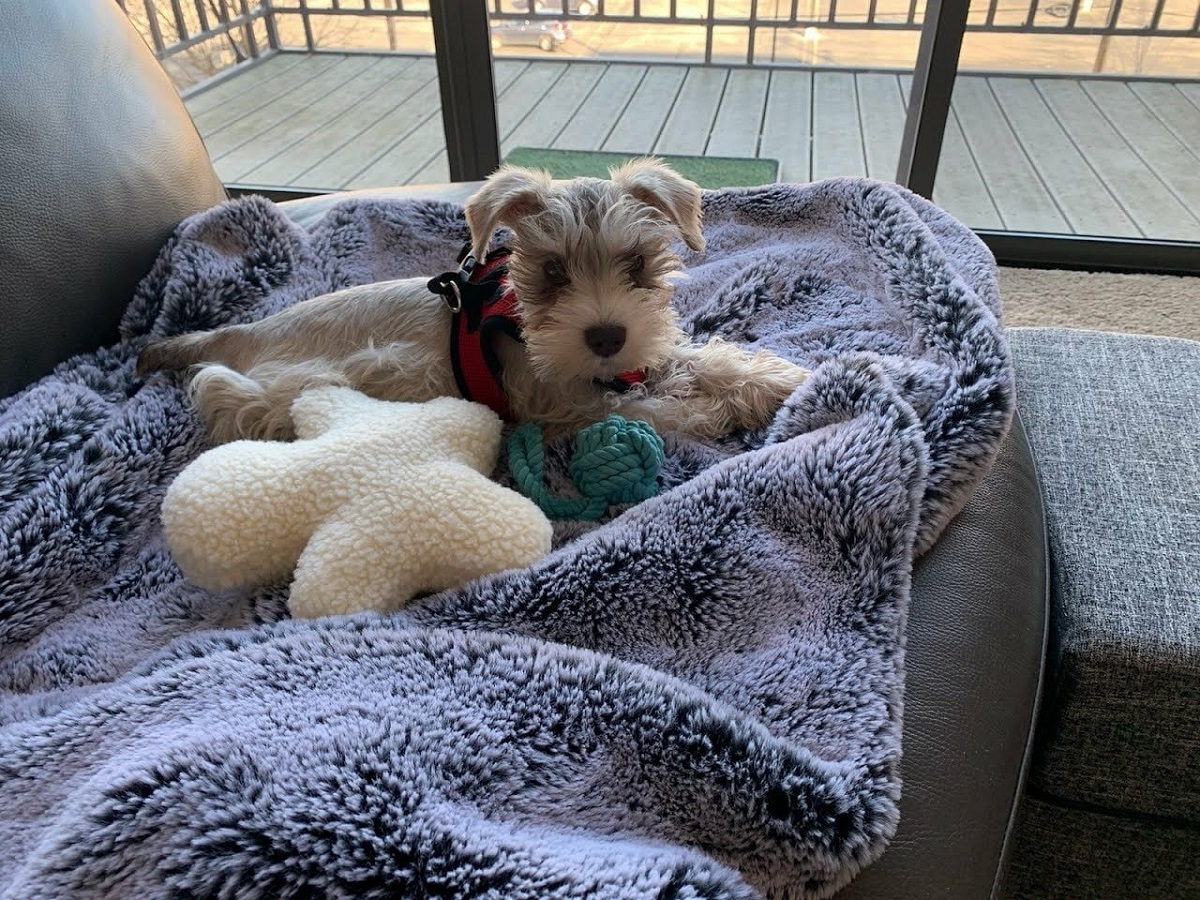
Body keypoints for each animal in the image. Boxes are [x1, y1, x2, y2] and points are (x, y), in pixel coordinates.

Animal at [142, 162, 816, 448]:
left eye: (637, 264)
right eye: (552, 271)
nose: (605, 336)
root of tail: (247, 332)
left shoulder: (640, 354)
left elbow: (700, 359)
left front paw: (781, 381)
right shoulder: (560, 407)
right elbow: (646, 411)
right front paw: (709, 412)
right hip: (351, 375)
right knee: (232, 400)